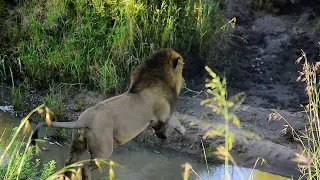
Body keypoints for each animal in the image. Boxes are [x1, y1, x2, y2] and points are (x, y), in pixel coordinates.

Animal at [31, 47, 186, 179]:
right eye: (182, 68)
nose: (185, 80)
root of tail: (82, 120)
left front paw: (163, 135)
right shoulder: (163, 115)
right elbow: (174, 121)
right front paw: (180, 132)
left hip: (78, 144)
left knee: (69, 162)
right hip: (103, 151)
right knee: (85, 167)